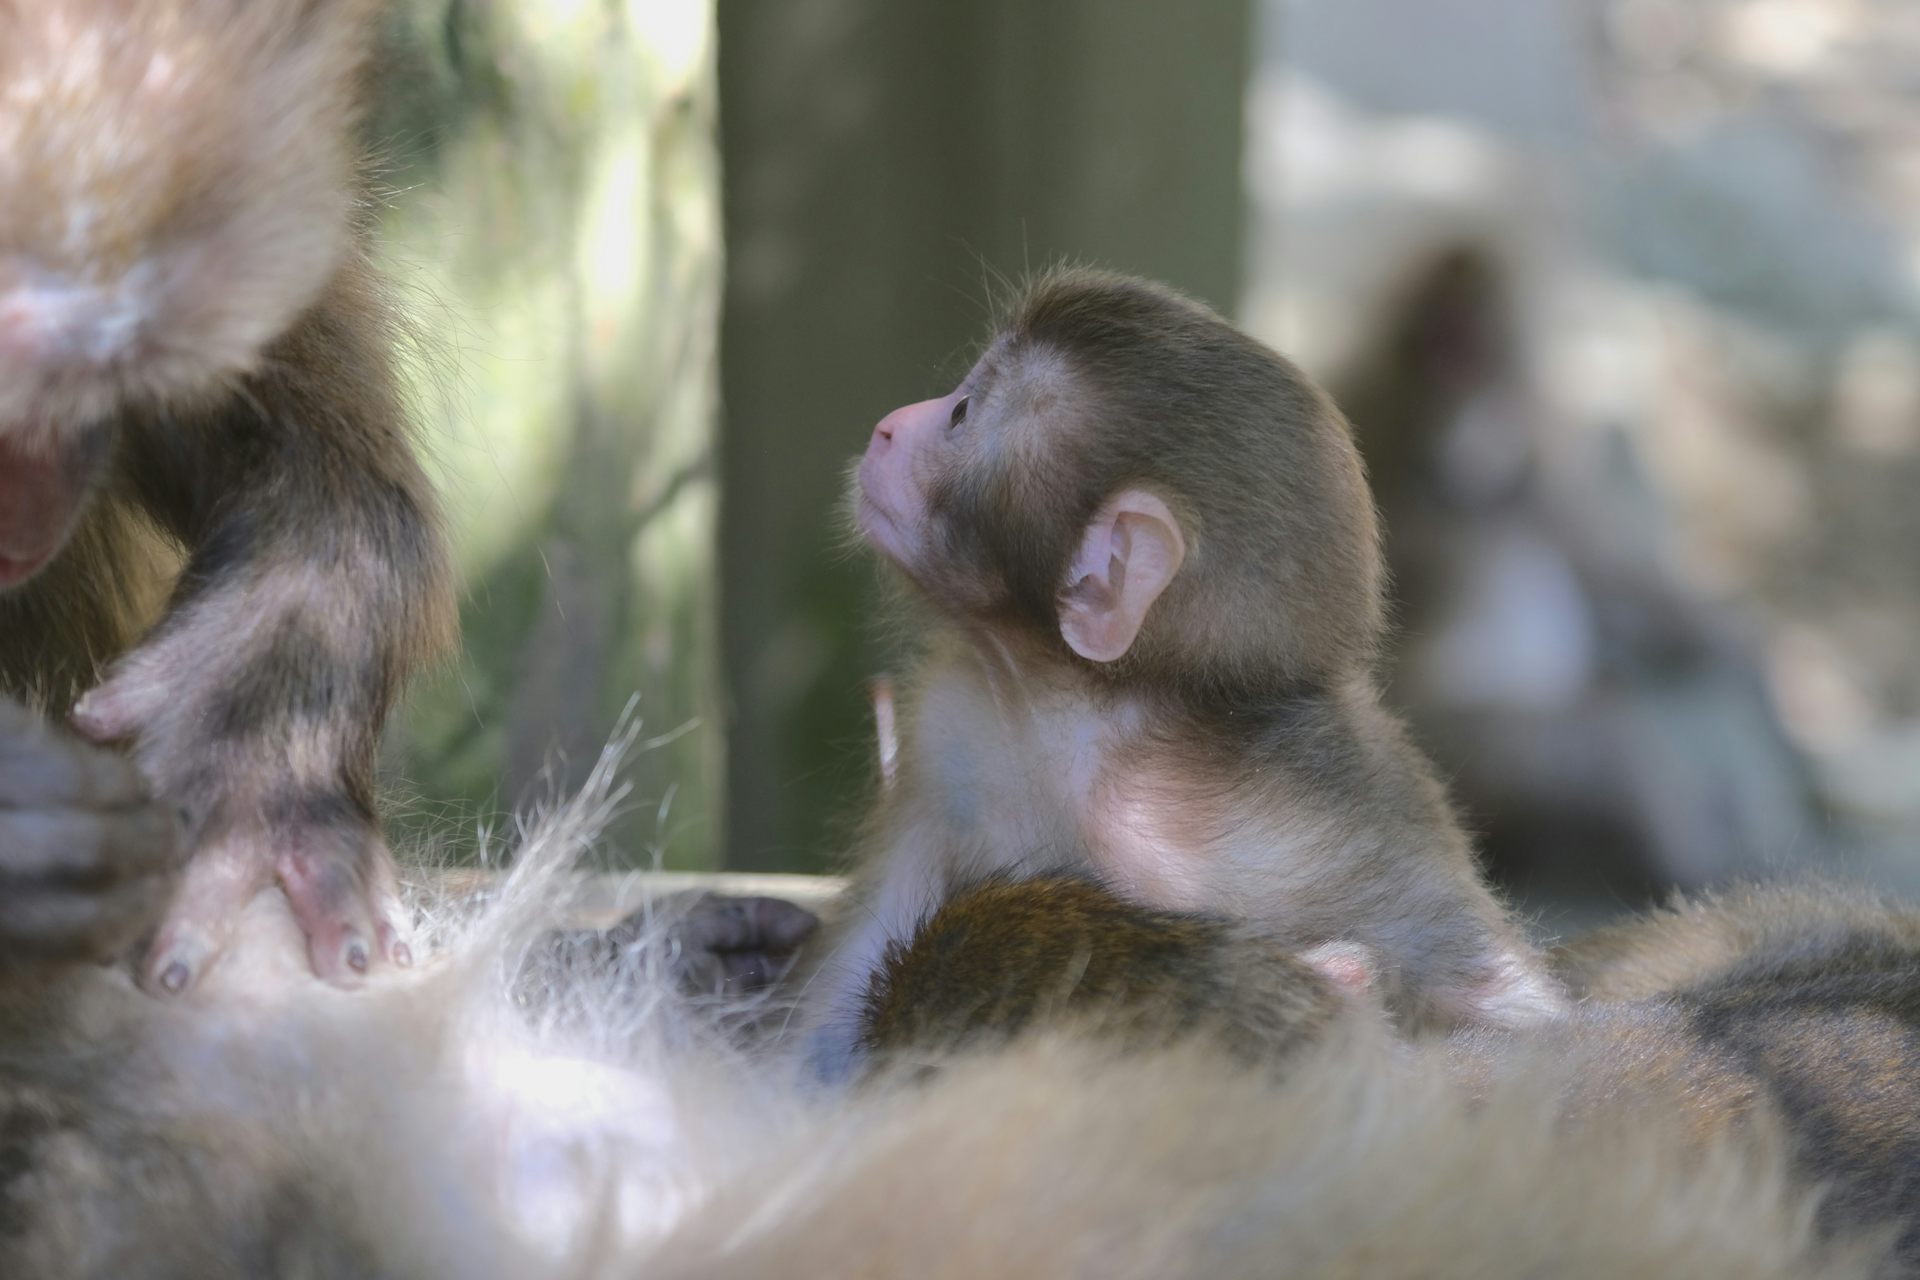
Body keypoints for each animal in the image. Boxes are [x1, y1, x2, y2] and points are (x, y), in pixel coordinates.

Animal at [800, 266, 1565, 1081]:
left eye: (963, 412)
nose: (889, 426)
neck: (1083, 716)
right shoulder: (948, 729)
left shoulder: (1290, 833)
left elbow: (1510, 1014)